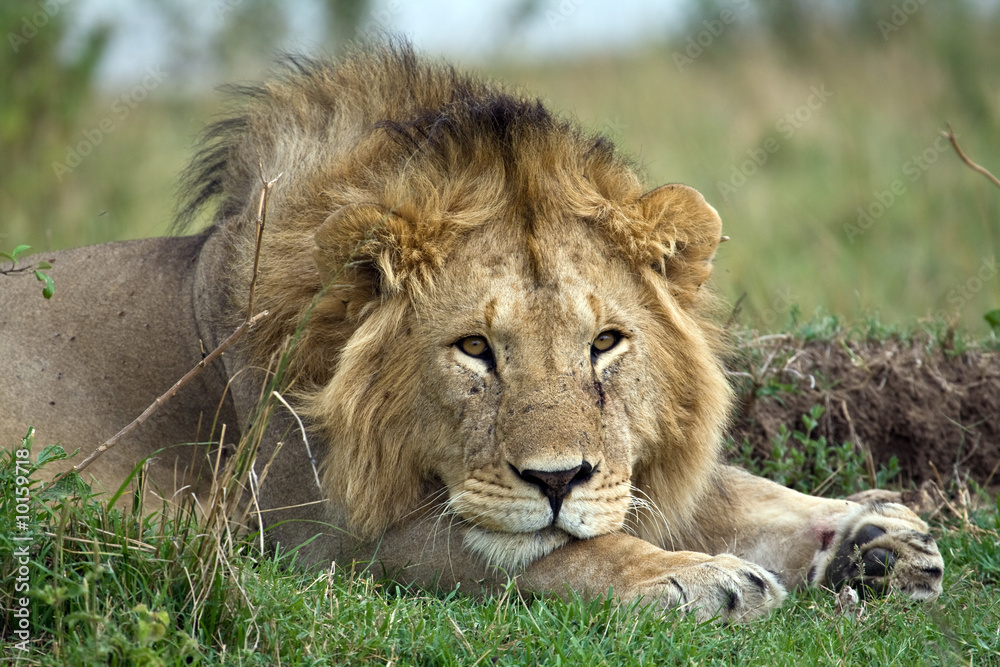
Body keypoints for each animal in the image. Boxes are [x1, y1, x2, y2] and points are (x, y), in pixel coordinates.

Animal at [0, 44, 940, 624]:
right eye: (475, 349)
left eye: (605, 342)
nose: (557, 479)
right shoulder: (323, 539)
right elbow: (546, 554)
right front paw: (693, 574)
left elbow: (723, 489)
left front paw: (871, 536)